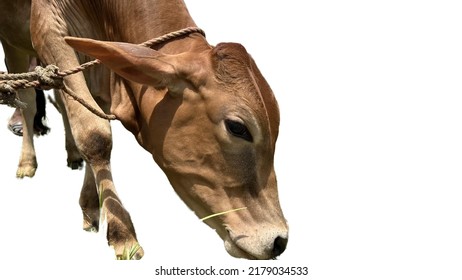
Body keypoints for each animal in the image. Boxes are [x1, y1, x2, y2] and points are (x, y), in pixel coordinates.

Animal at [0, 0, 288, 260]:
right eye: (237, 127)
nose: (279, 241)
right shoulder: (46, 27)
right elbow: (94, 133)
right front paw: (122, 232)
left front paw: (91, 206)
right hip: (12, 42)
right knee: (27, 100)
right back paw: (27, 162)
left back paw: (72, 154)